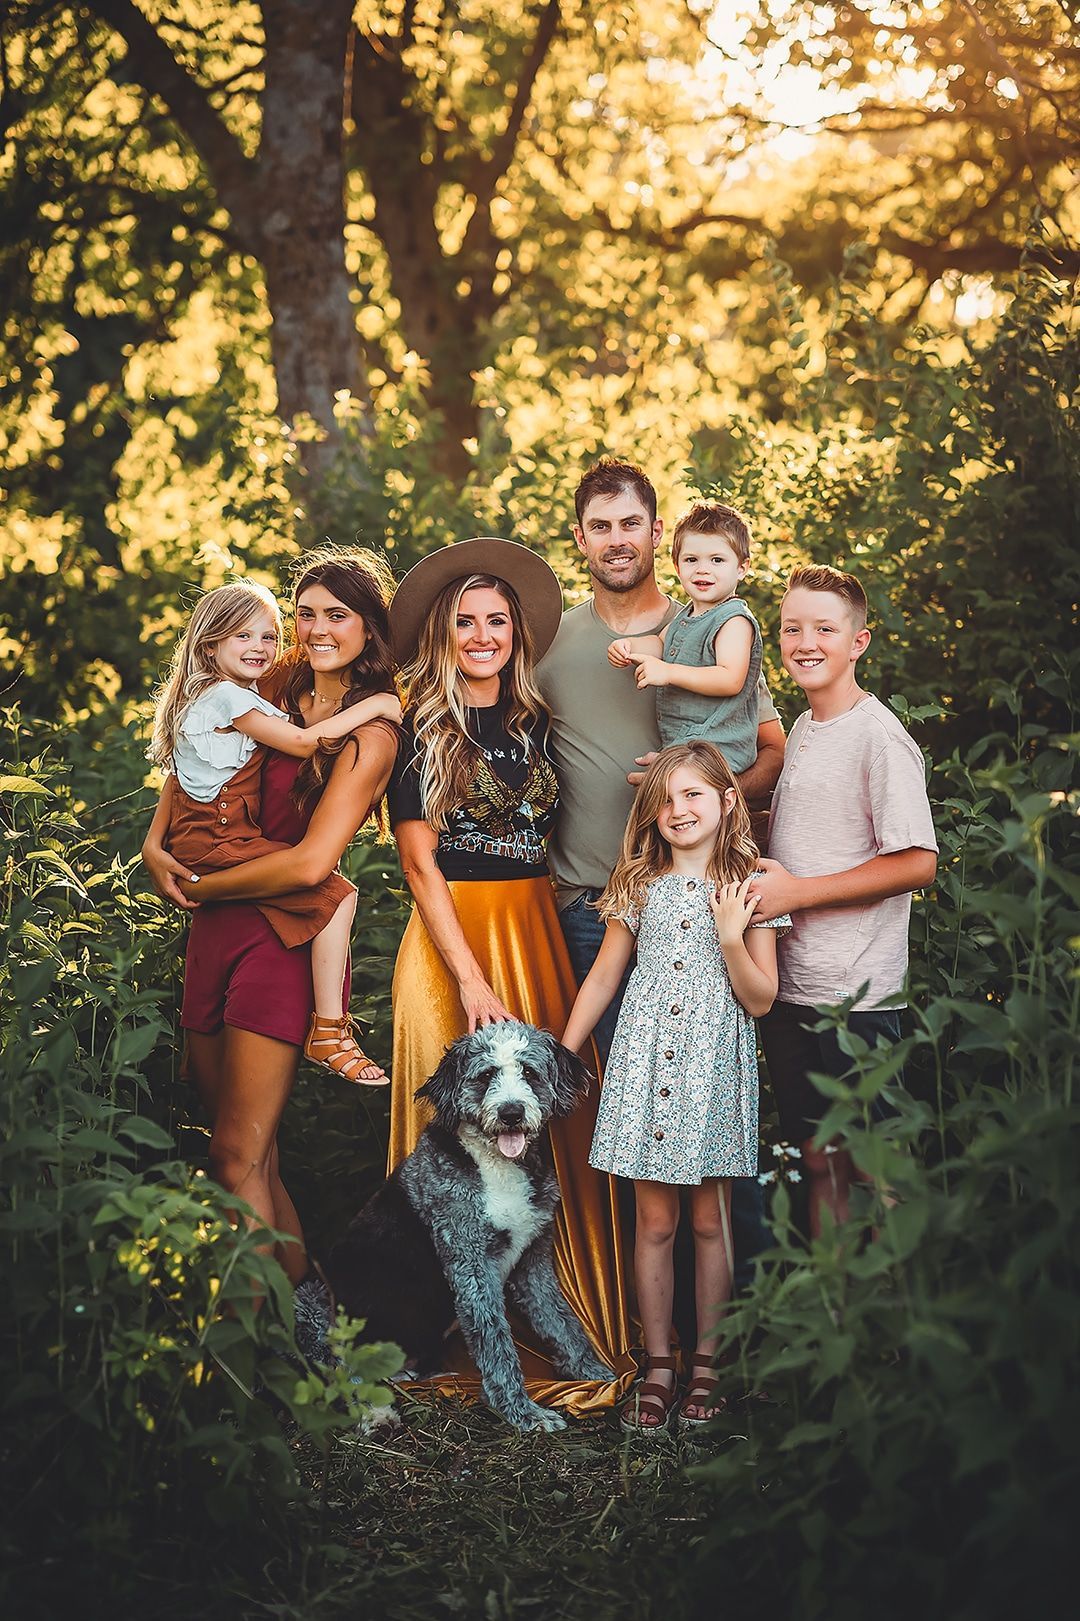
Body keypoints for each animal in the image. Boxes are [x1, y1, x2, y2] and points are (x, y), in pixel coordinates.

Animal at [319, 1024, 609, 1432]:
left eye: (529, 1072)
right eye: (485, 1075)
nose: (511, 1112)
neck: (497, 1165)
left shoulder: (533, 1260)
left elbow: (561, 1320)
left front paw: (595, 1374)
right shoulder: (470, 1263)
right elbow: (496, 1343)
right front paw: (525, 1414)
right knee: (334, 1373)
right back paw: (374, 1413)